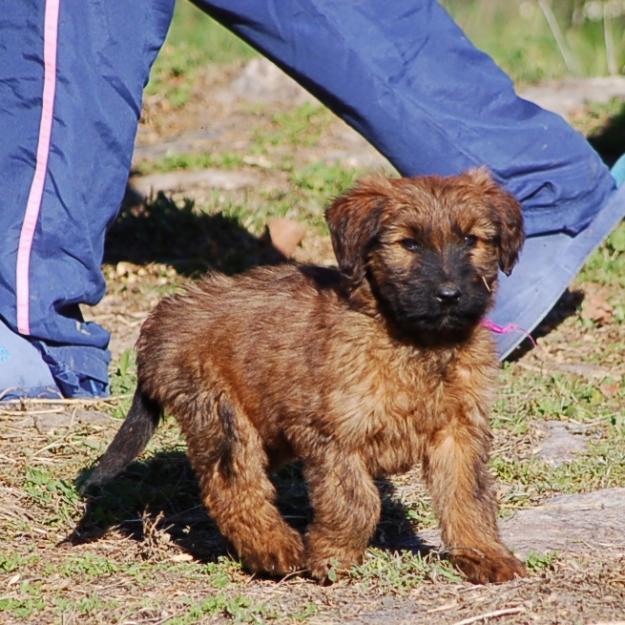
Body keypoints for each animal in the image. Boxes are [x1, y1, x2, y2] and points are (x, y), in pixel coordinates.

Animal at [85, 167, 528, 584]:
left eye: (471, 239)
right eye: (409, 243)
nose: (450, 295)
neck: (415, 341)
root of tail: (160, 322)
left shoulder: (459, 431)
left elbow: (467, 496)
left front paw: (484, 554)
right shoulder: (331, 435)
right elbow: (356, 501)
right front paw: (332, 557)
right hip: (220, 414)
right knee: (233, 487)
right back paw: (276, 549)